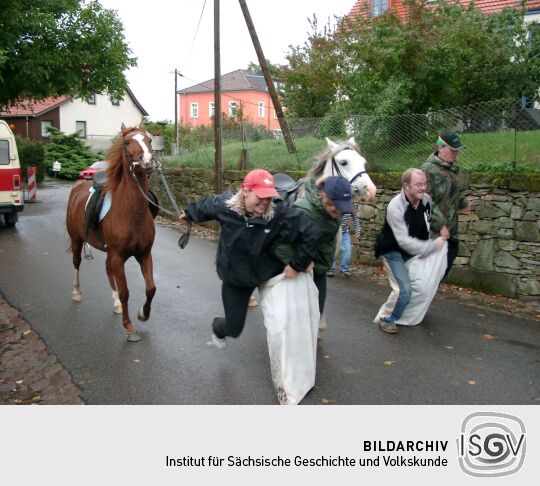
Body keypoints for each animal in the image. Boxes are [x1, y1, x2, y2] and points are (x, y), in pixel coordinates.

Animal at [66, 123, 157, 340]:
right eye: (128, 142)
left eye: (149, 140)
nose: (147, 161)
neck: (132, 212)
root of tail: (78, 186)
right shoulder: (118, 257)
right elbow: (125, 292)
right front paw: (129, 327)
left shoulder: (144, 254)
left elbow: (151, 288)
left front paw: (143, 313)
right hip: (76, 240)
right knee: (76, 263)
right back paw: (76, 293)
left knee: (107, 269)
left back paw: (115, 304)